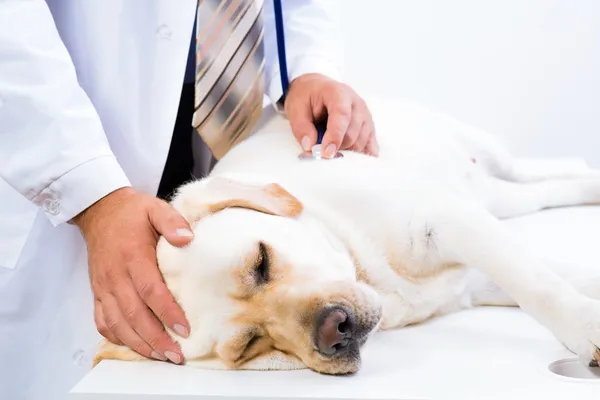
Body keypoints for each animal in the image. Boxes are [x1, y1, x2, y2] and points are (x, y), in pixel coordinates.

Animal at [94, 96, 600, 376]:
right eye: (250, 345)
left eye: (261, 261)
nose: (334, 330)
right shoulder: (473, 277)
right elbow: (555, 277)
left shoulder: (444, 220)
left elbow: (540, 286)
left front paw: (587, 330)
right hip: (496, 198)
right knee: (545, 190)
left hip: (486, 161)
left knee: (546, 171)